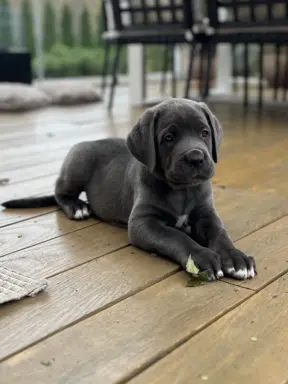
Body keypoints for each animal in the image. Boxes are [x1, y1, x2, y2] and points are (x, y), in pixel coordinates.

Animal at [3, 97, 256, 280]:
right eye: (169, 137)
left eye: (204, 133)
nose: (195, 158)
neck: (181, 191)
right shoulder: (143, 223)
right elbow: (176, 236)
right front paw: (202, 256)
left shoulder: (206, 214)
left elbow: (220, 233)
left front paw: (236, 258)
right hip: (78, 162)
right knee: (60, 192)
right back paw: (77, 207)